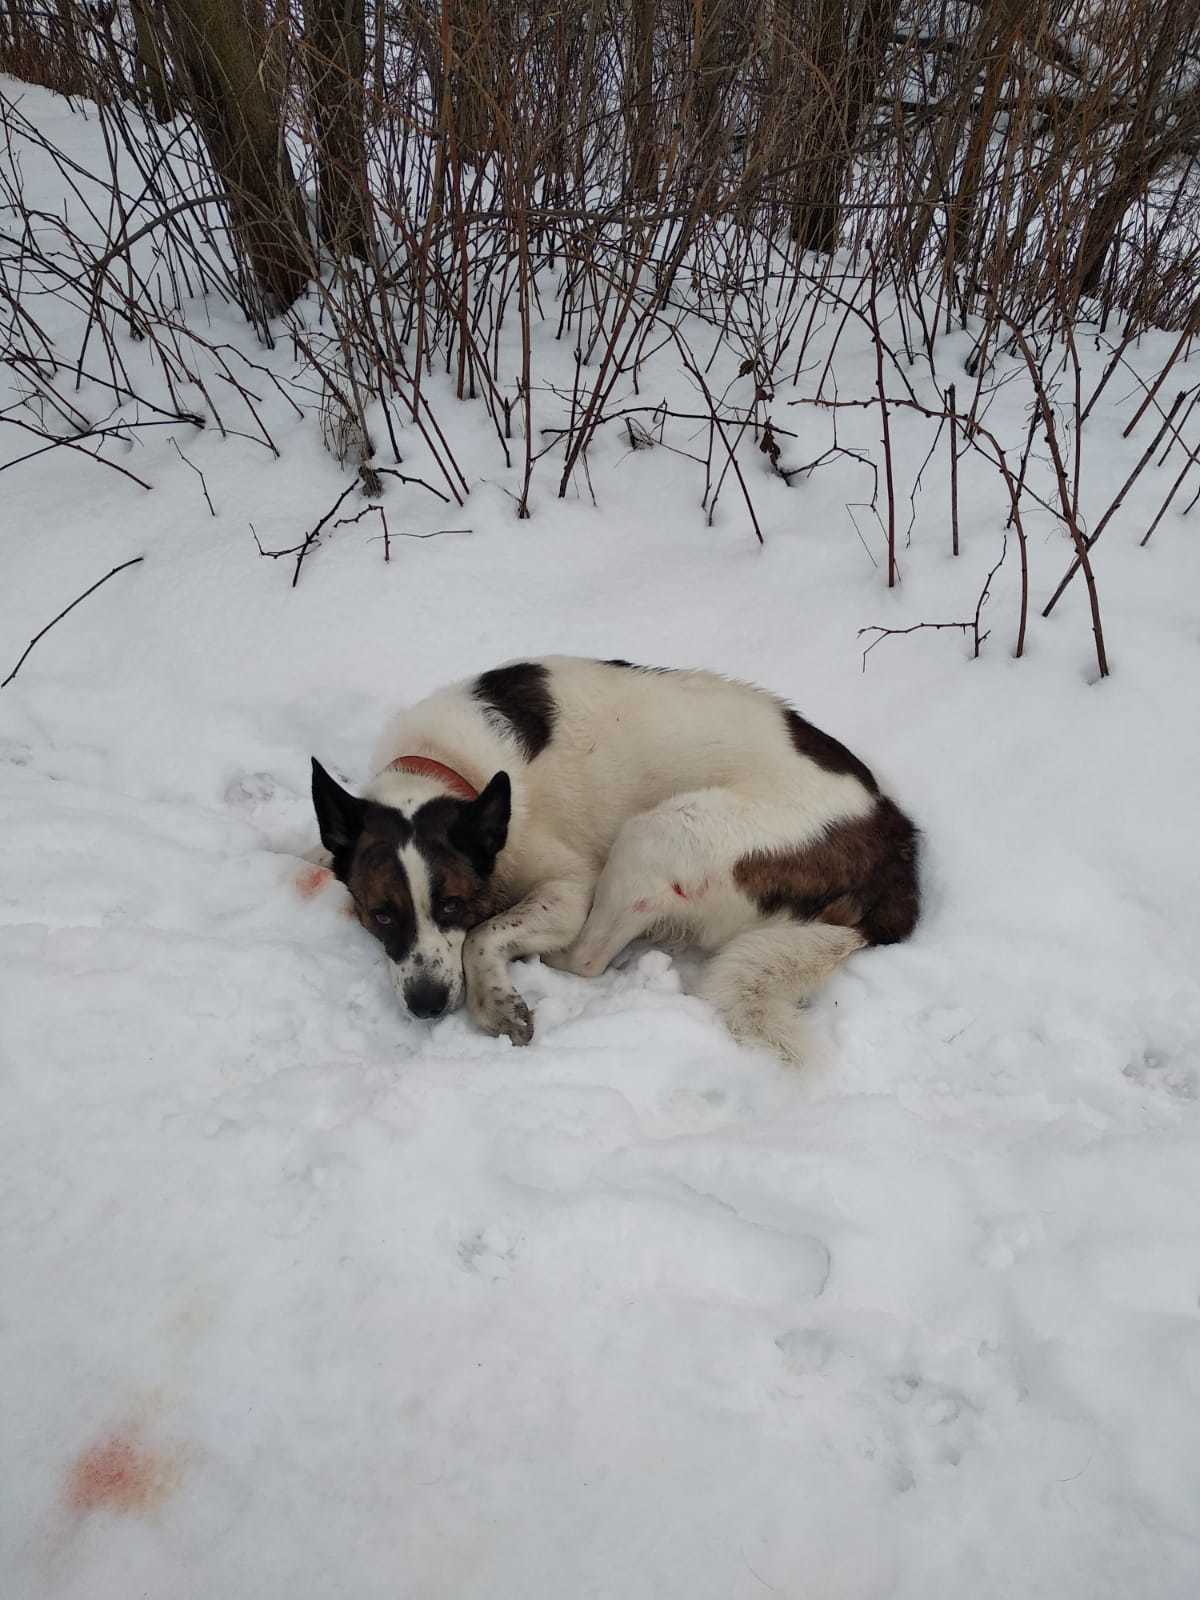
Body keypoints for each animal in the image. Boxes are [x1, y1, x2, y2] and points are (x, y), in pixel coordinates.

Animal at [310, 656, 921, 1068]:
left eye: (452, 905)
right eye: (381, 914)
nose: (427, 1005)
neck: (444, 767)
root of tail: (890, 840)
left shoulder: (569, 887)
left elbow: (484, 934)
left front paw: (497, 1002)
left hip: (659, 833)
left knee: (584, 958)